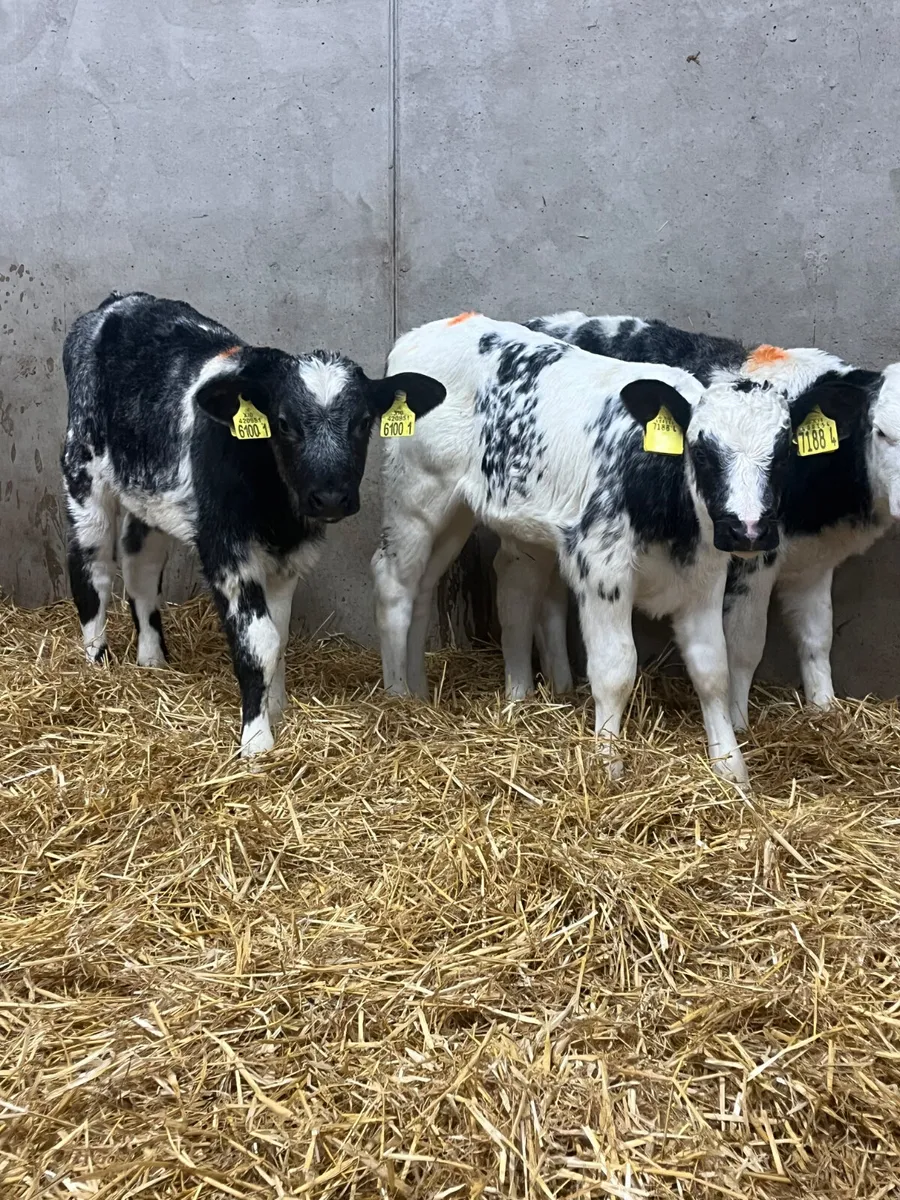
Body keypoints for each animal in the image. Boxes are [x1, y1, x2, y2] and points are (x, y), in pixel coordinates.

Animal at [61, 291, 445, 755]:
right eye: (283, 422)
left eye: (362, 422)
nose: (330, 497)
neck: (277, 511)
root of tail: (120, 301)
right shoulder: (226, 553)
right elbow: (260, 642)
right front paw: (257, 740)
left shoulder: (287, 560)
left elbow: (279, 637)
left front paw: (276, 710)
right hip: (83, 469)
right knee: (93, 568)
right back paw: (96, 665)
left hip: (145, 494)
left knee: (141, 570)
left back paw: (152, 662)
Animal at [371, 312, 819, 785]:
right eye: (701, 452)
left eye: (784, 454)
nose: (747, 529)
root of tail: (428, 330)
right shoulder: (602, 567)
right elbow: (615, 670)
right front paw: (609, 766)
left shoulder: (704, 577)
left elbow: (713, 669)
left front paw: (731, 769)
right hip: (415, 497)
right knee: (393, 584)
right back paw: (397, 698)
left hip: (458, 512)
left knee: (429, 589)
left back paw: (420, 692)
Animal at [525, 311, 893, 727]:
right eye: (881, 432)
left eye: (786, 452)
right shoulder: (750, 561)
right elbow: (744, 645)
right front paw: (738, 723)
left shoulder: (813, 562)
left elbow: (817, 635)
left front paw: (825, 708)